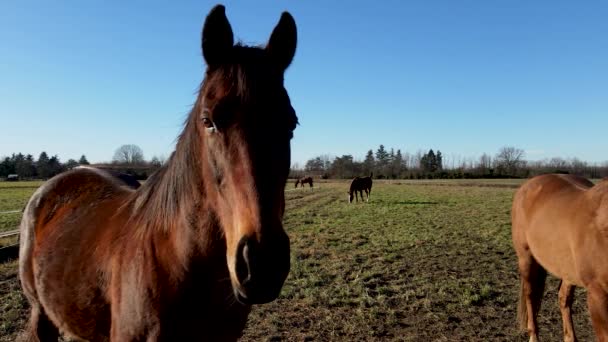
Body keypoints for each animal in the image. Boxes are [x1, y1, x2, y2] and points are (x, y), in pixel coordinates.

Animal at [516, 175, 608, 340]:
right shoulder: (598, 294)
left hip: (567, 270)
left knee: (563, 298)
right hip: (526, 258)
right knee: (530, 295)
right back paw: (533, 336)